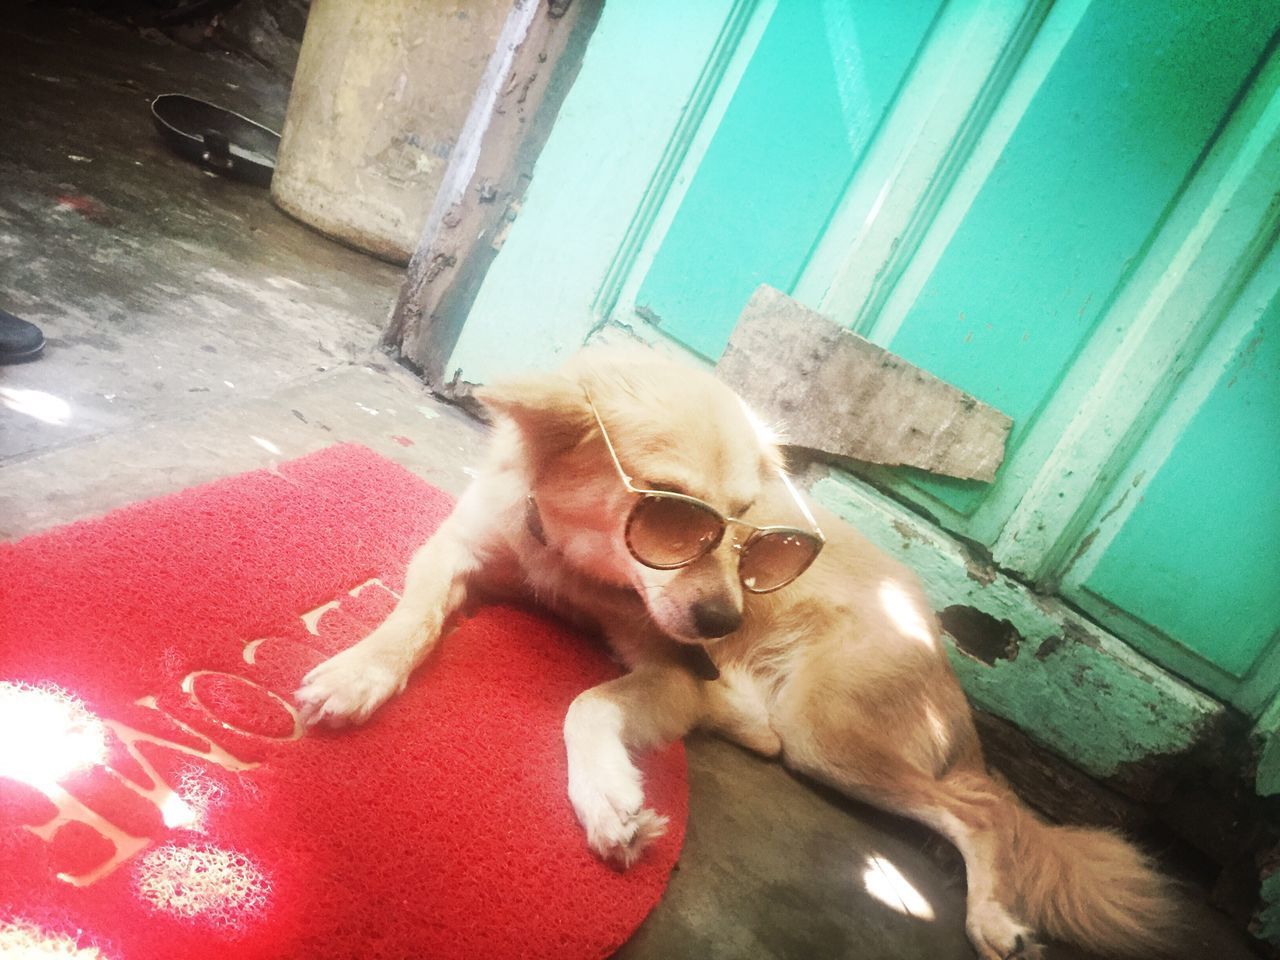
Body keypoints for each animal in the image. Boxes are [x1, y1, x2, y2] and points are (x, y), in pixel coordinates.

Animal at [294, 345, 1172, 960]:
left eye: (754, 531)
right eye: (675, 519)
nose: (724, 622)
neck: (580, 568)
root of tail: (938, 659)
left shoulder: (672, 672)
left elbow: (588, 703)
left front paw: (609, 799)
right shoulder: (459, 550)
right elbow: (409, 616)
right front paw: (359, 672)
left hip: (826, 731)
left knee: (979, 810)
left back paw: (993, 916)